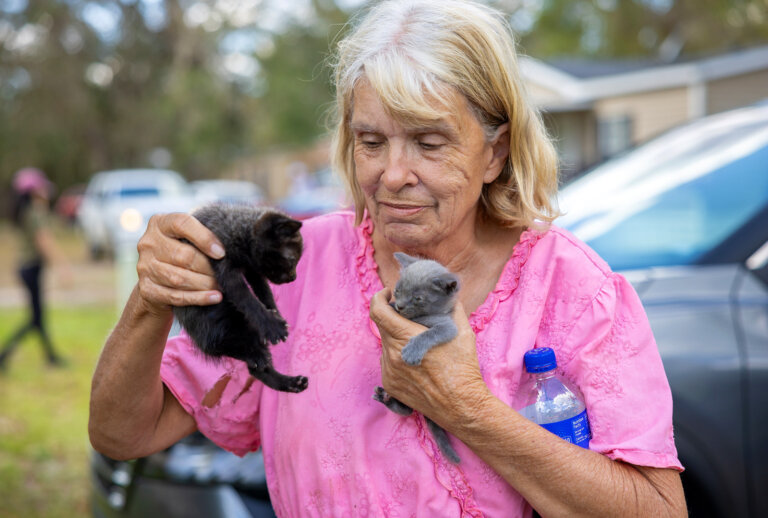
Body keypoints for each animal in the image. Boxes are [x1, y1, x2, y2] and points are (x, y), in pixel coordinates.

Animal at [172, 203, 308, 394]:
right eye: (292, 260)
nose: (293, 278)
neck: (238, 227)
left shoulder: (252, 269)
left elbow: (264, 290)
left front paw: (275, 313)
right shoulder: (225, 267)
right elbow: (246, 299)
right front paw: (271, 325)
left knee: (257, 369)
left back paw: (291, 382)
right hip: (214, 326)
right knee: (226, 346)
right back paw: (257, 356)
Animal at [374, 254, 462, 466]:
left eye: (417, 298)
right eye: (397, 290)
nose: (400, 305)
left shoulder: (447, 327)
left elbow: (429, 334)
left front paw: (412, 352)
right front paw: (391, 307)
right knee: (405, 410)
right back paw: (386, 399)